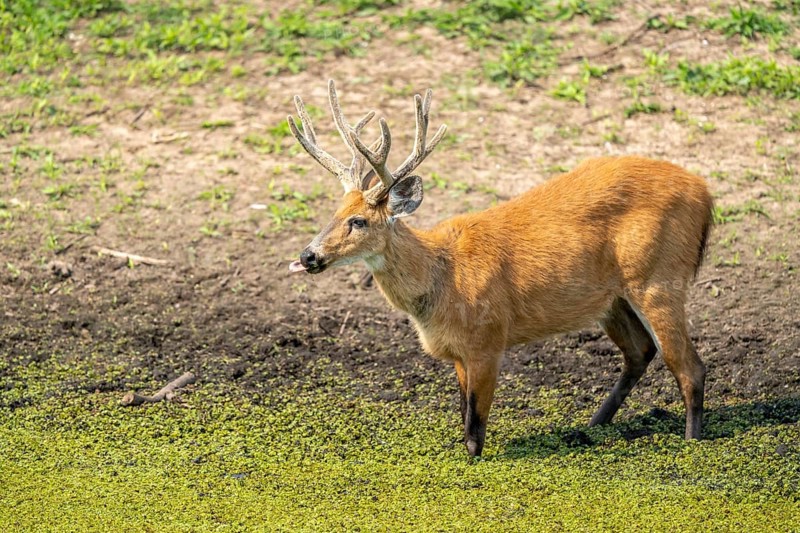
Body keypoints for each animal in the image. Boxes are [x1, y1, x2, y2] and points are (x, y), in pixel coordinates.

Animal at [286, 80, 714, 457]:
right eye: (335, 211)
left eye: (358, 221)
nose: (308, 256)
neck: (442, 279)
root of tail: (706, 194)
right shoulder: (459, 354)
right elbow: (464, 417)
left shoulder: (488, 339)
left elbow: (476, 429)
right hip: (612, 299)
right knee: (641, 352)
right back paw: (591, 426)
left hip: (660, 278)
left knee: (690, 367)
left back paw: (692, 443)